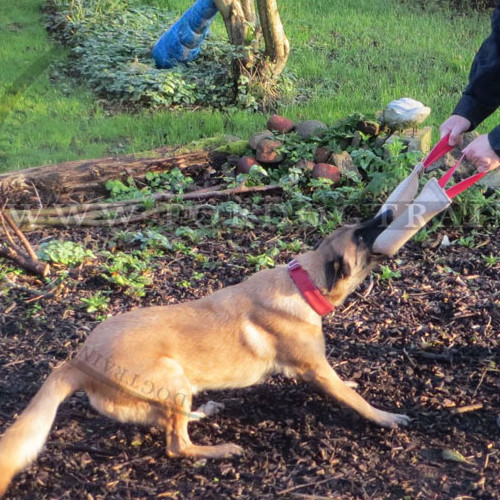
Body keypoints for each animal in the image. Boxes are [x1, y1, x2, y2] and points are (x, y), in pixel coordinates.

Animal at [0, 212, 408, 496]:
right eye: (361, 234)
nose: (388, 213)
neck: (304, 281)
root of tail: (79, 361)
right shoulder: (316, 369)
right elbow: (356, 401)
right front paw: (386, 417)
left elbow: (343, 383)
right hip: (172, 376)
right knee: (177, 445)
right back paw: (220, 449)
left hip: (175, 389)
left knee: (171, 421)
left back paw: (204, 411)